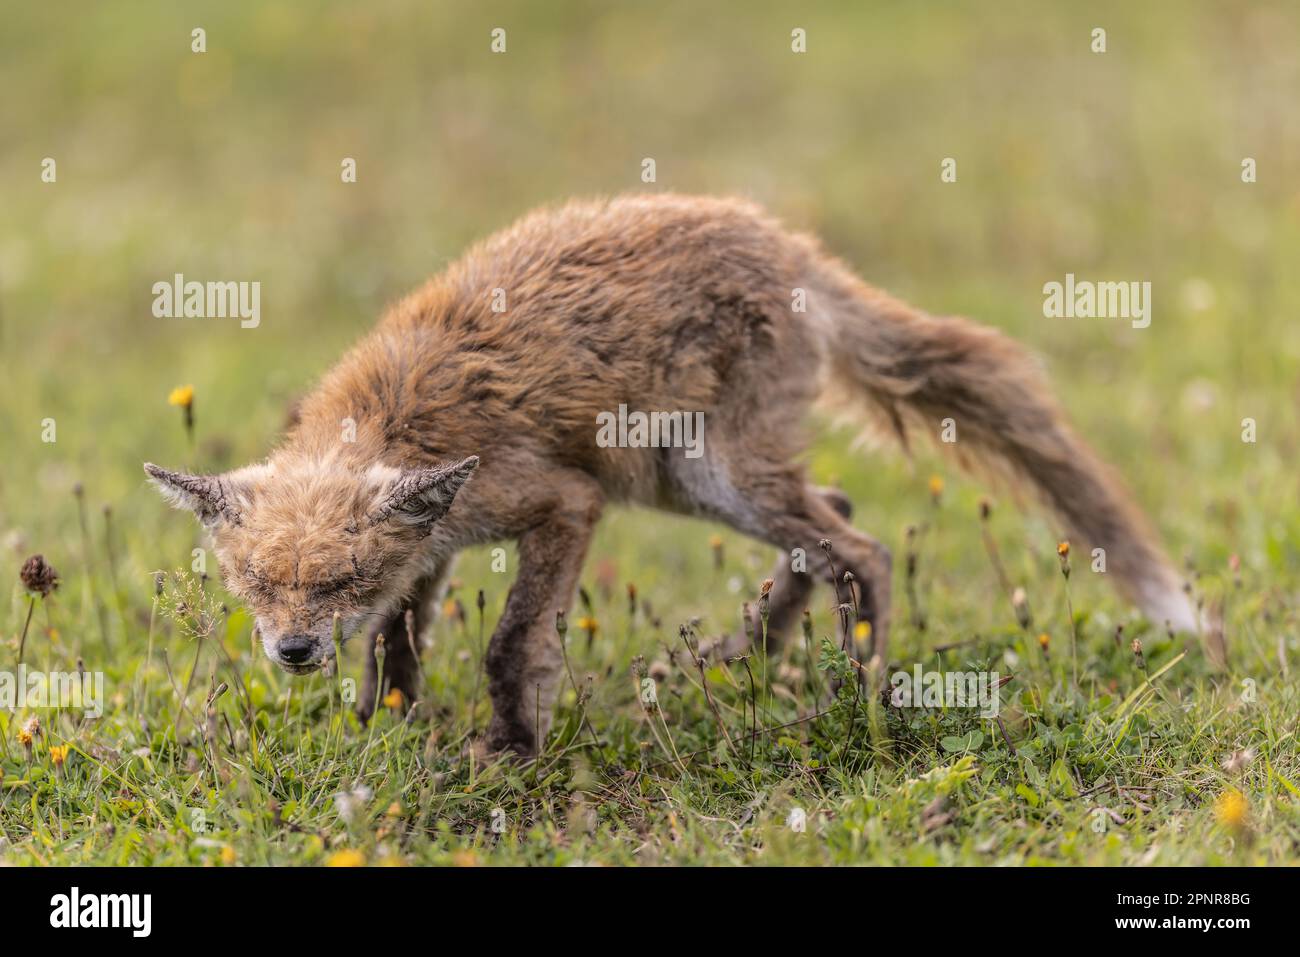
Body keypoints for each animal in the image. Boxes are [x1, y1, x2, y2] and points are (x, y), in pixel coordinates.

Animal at [146, 193, 1204, 757]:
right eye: (255, 586)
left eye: (339, 579)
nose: (292, 652)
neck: (396, 417)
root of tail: (792, 244)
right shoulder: (435, 535)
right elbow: (397, 642)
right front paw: (387, 727)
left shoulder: (557, 502)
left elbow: (511, 643)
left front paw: (512, 749)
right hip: (692, 481)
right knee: (834, 522)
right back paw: (752, 653)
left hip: (705, 472)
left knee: (862, 548)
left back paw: (857, 695)